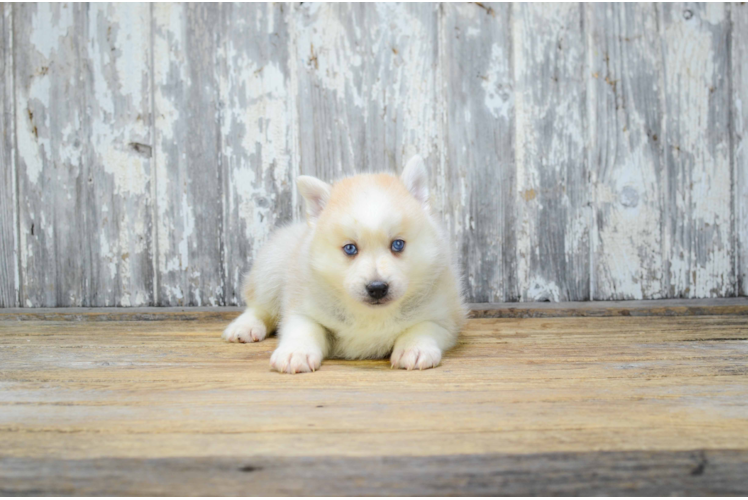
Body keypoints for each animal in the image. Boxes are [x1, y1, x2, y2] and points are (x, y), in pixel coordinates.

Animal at [222, 154, 468, 374]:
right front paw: (295, 353)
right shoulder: (301, 308)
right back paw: (244, 327)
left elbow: (423, 327)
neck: (371, 316)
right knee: (259, 306)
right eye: (350, 248)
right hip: (271, 268)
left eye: (397, 244)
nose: (377, 288)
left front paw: (414, 349)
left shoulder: (445, 316)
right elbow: (303, 329)